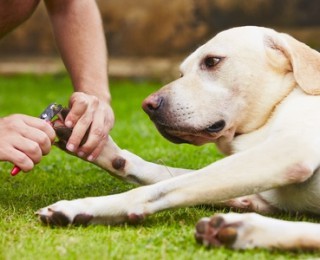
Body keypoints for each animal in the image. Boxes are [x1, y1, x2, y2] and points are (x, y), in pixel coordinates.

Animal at [37, 26, 320, 250]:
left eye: (212, 61)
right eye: (182, 73)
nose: (148, 106)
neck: (275, 106)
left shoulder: (289, 151)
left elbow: (155, 189)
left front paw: (83, 207)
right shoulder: (260, 195)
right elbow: (161, 174)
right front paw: (105, 150)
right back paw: (237, 230)